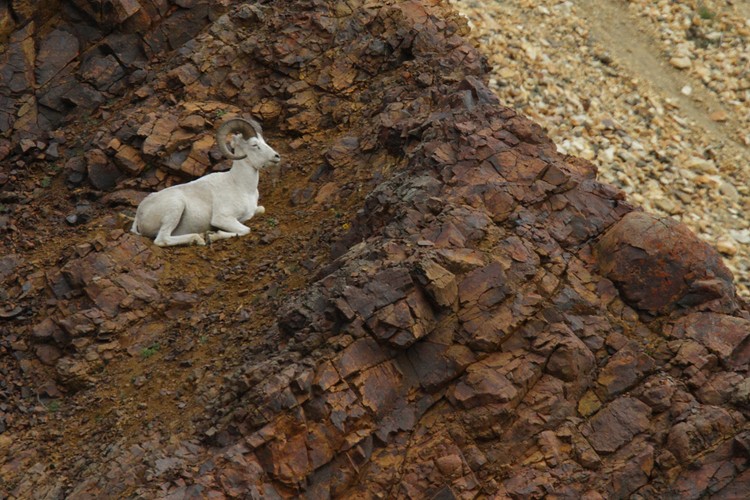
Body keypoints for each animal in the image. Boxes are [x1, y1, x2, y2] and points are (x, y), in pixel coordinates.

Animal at [131, 117, 280, 246]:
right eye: (254, 144)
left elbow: (260, 210)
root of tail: (140, 213)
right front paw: (212, 235)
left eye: (264, 141)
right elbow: (245, 230)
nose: (276, 156)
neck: (241, 186)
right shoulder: (222, 218)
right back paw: (198, 238)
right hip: (175, 207)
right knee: (162, 239)